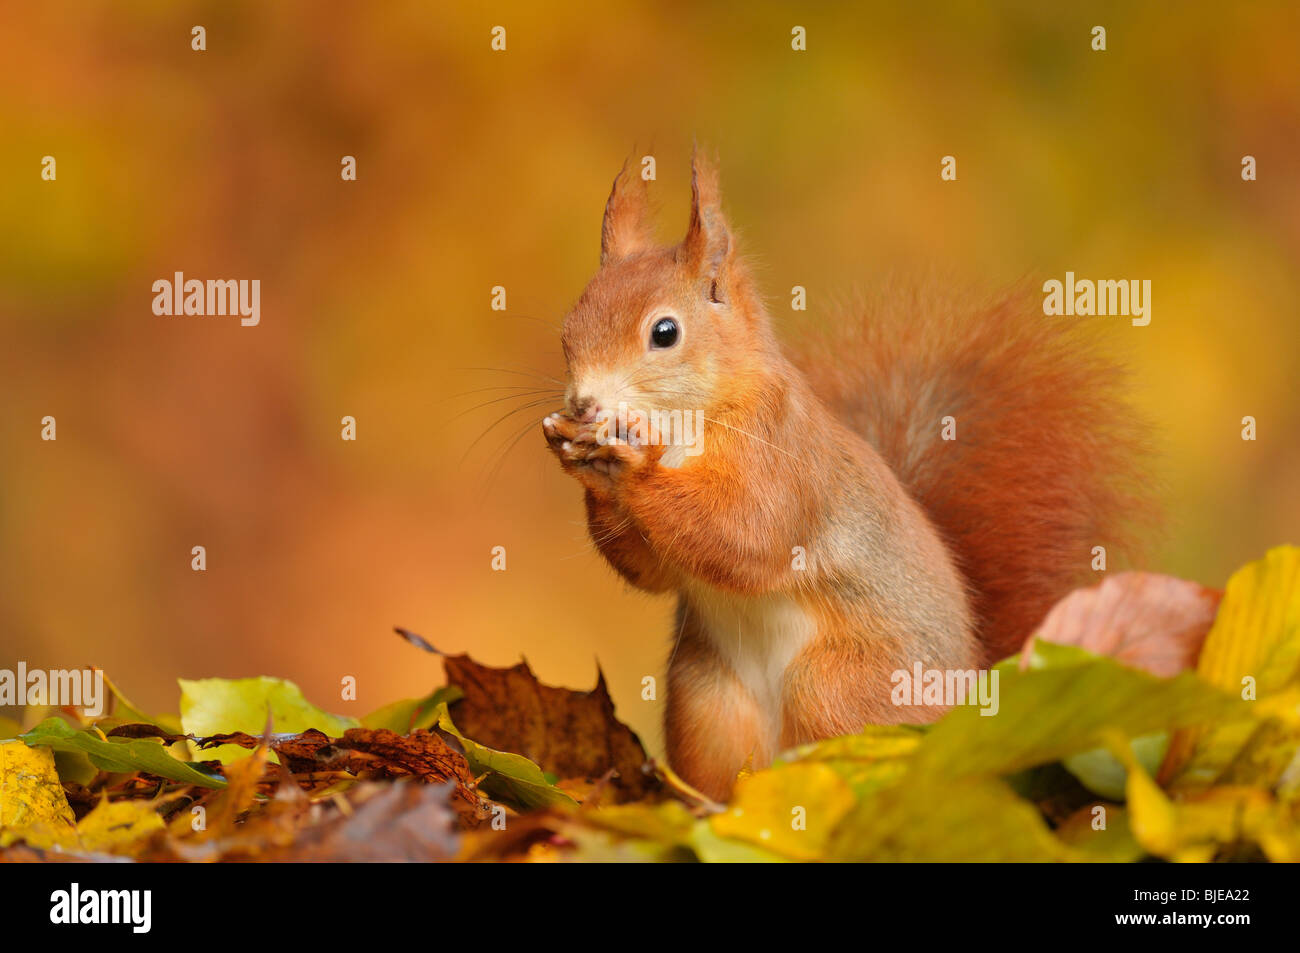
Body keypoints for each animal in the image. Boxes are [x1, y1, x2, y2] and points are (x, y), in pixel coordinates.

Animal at [538, 154, 1149, 795]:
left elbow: (749, 536)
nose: (583, 403)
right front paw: (578, 458)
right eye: (569, 328)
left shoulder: (782, 457)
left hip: (840, 687)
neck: (685, 429)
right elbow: (655, 570)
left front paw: (632, 468)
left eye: (664, 332)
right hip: (708, 698)